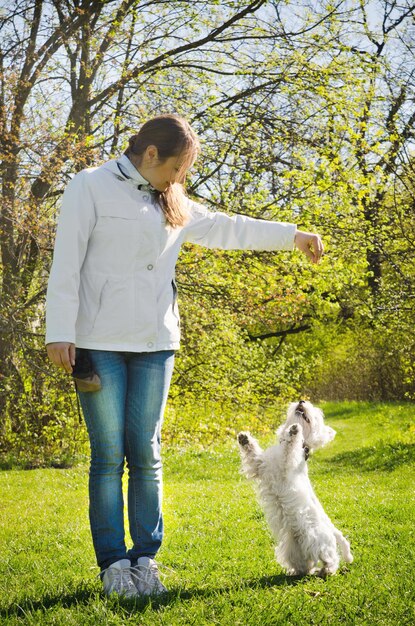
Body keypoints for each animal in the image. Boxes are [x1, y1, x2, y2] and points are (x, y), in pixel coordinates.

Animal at [237, 402, 354, 572]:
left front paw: (294, 431)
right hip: (293, 550)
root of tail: (332, 530)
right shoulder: (260, 466)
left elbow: (289, 447)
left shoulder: (287, 465)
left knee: (330, 558)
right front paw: (244, 438)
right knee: (306, 565)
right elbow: (253, 453)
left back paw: (327, 570)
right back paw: (301, 571)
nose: (302, 401)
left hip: (319, 541)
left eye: (316, 415)